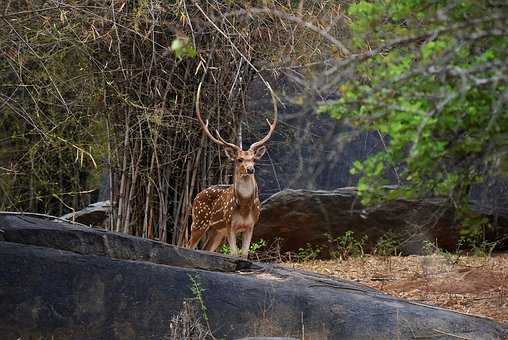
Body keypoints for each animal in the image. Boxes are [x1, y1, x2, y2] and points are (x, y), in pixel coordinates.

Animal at [186, 83, 276, 256]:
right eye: (239, 159)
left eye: (253, 159)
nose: (250, 169)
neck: (245, 208)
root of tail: (196, 196)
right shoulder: (229, 223)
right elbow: (234, 254)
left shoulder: (251, 225)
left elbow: (244, 254)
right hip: (199, 220)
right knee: (188, 245)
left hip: (216, 231)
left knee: (207, 248)